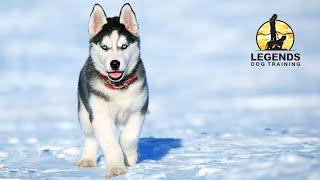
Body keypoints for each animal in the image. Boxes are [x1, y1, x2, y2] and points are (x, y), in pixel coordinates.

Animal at [75, 2, 148, 177]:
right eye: (104, 47)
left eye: (124, 46)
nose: (115, 63)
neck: (118, 87)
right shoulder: (99, 115)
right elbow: (110, 143)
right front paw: (116, 167)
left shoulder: (138, 110)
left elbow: (128, 137)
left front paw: (130, 157)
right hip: (84, 113)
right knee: (91, 137)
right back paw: (87, 159)